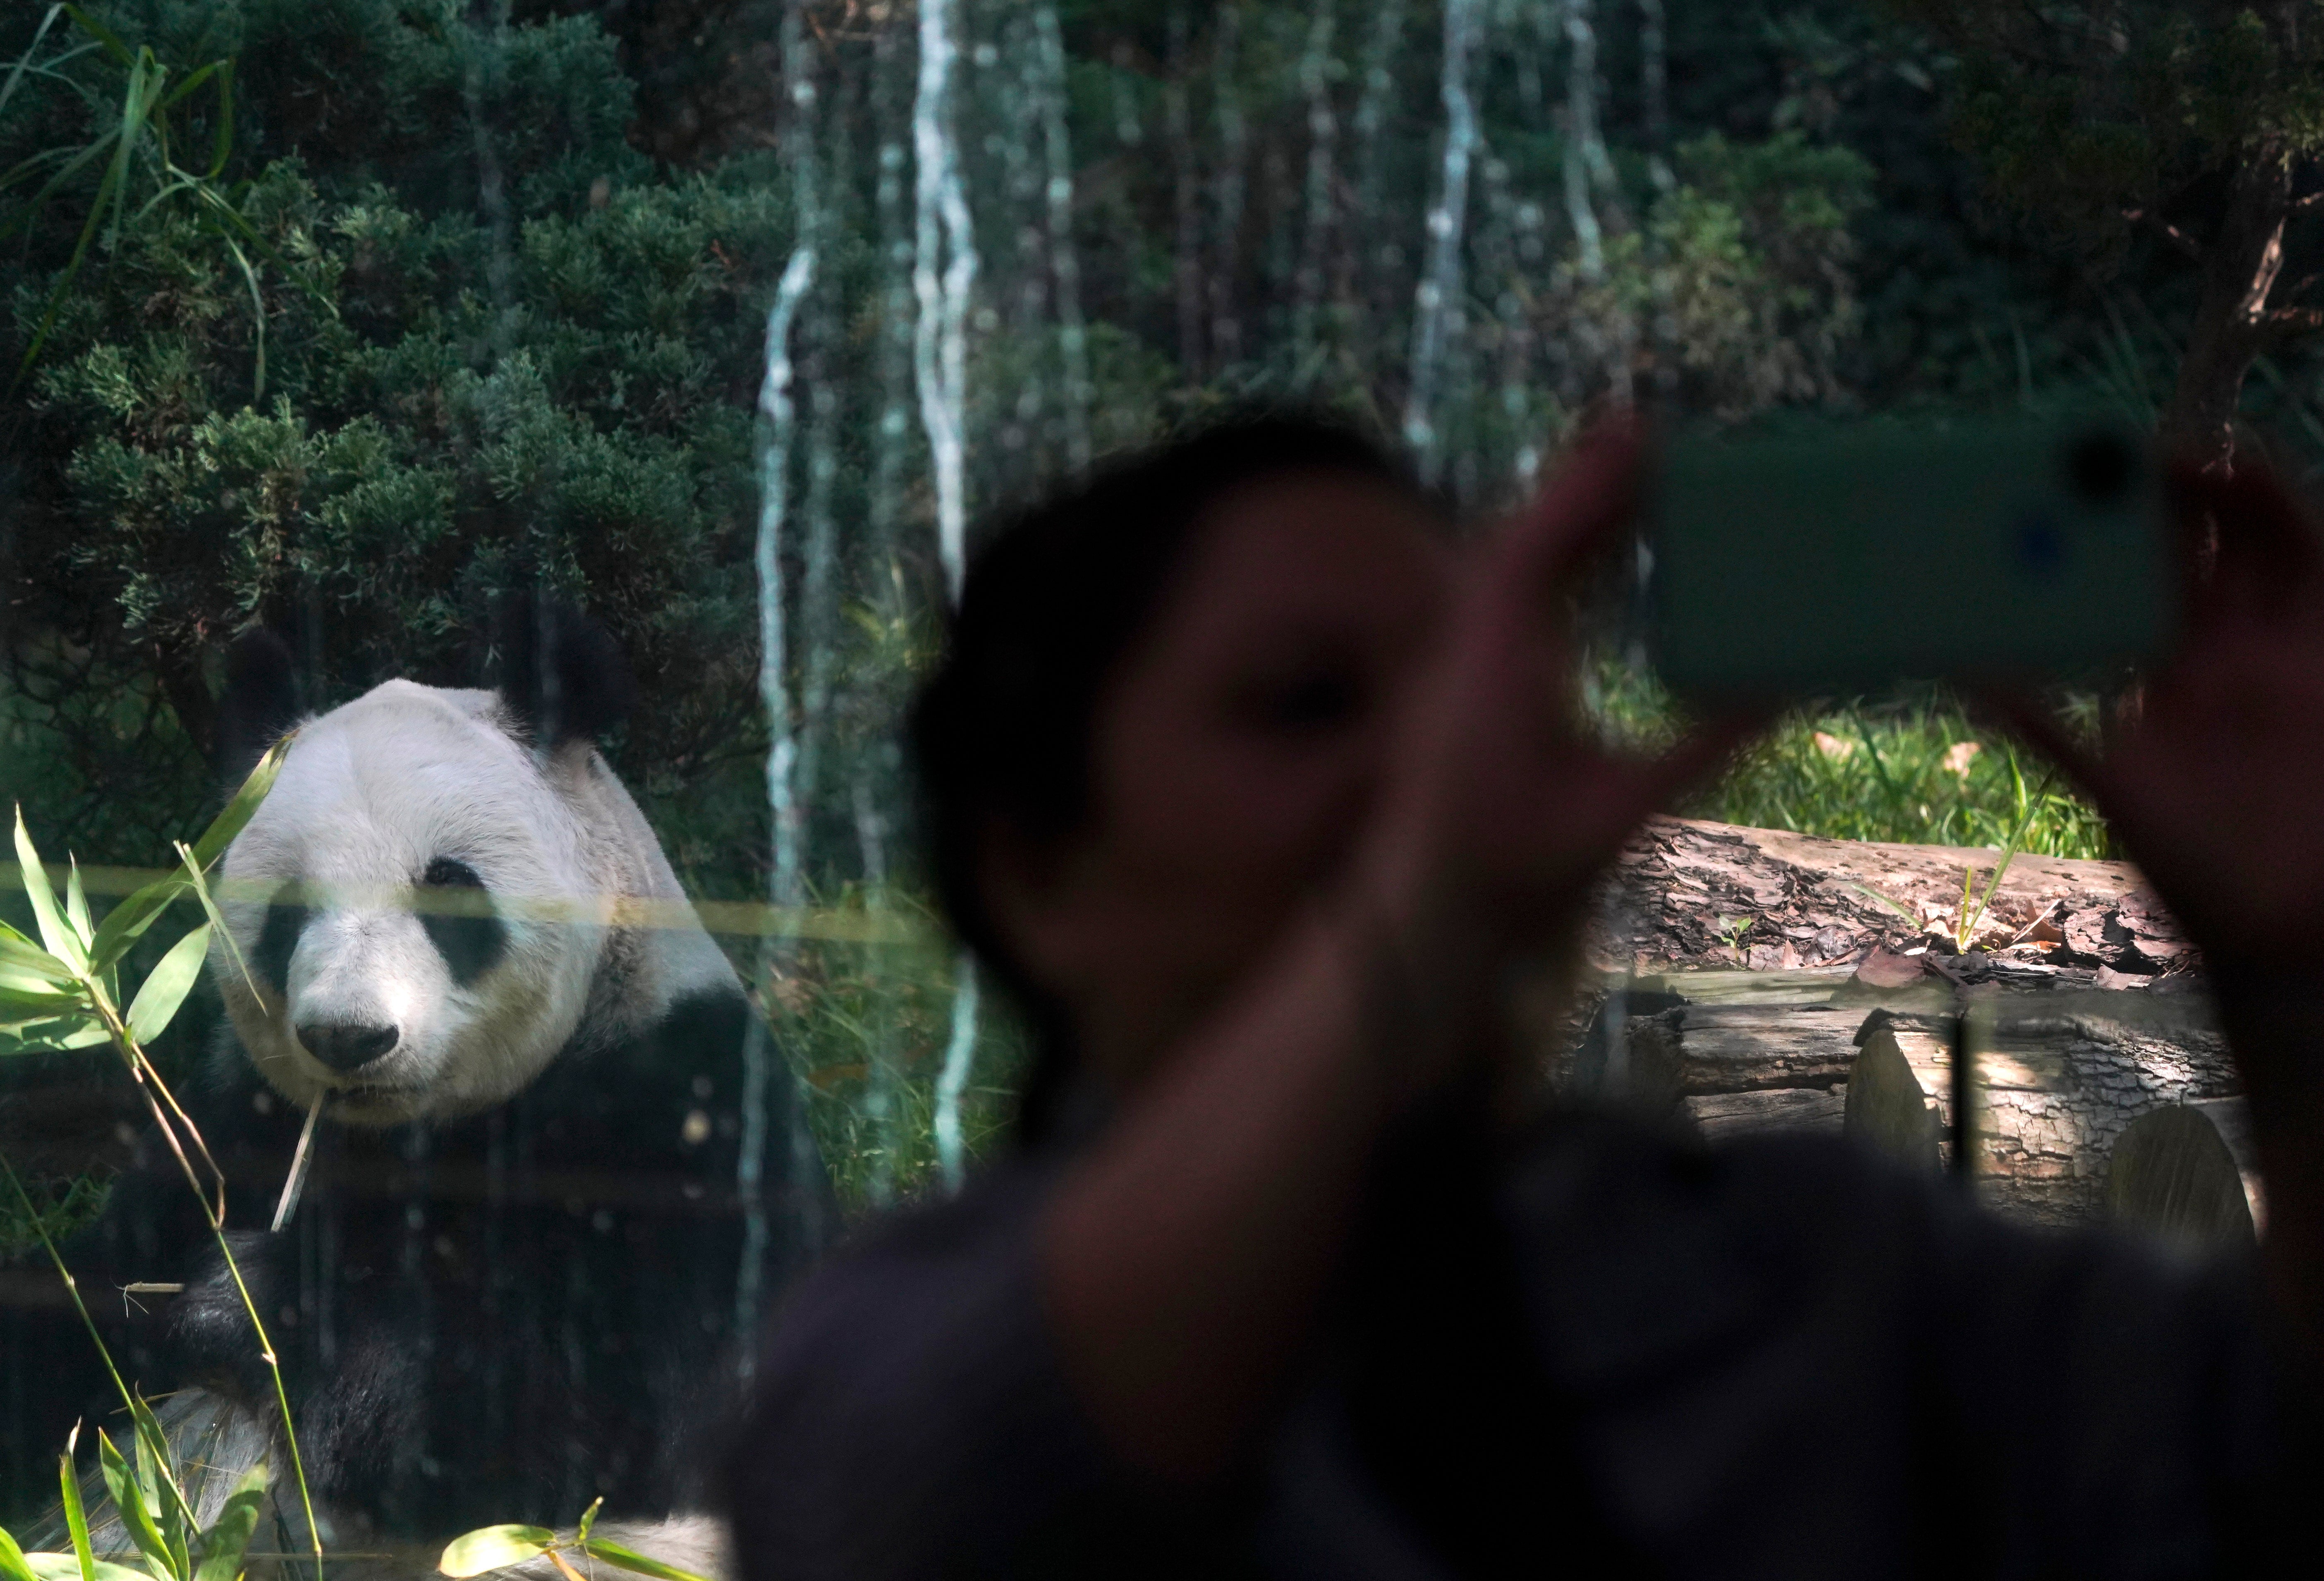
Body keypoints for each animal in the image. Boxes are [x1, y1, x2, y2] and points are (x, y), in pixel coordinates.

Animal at [33, 611, 828, 1567]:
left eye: (448, 885)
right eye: (290, 903)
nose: (350, 1036)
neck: (422, 1129)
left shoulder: (683, 1108)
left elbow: (617, 1399)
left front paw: (253, 1307)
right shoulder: (232, 1127)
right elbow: (80, 1312)